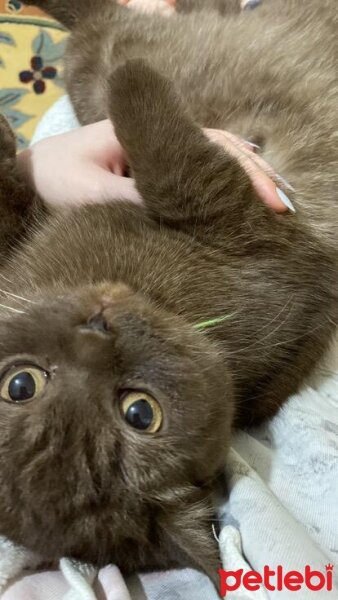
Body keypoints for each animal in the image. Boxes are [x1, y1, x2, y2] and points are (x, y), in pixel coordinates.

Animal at [0, 0, 336, 592]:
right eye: (140, 413)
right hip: (101, 56)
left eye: (19, 384)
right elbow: (169, 145)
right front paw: (135, 79)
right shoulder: (245, 220)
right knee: (104, 31)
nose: (97, 327)